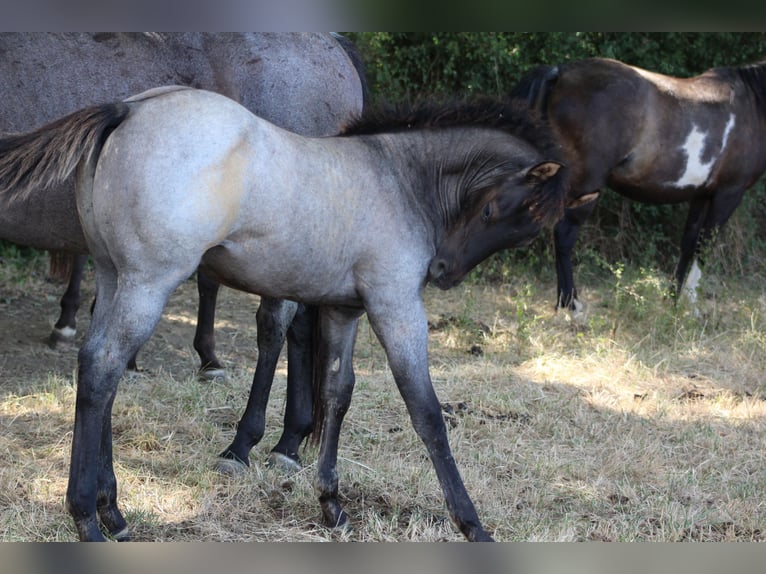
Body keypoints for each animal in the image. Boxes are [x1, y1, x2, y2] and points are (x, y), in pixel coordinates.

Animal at [0, 86, 569, 541]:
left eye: (524, 229)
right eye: (498, 210)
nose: (444, 269)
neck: (398, 176)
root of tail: (128, 107)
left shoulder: (343, 309)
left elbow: (336, 394)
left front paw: (332, 505)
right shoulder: (397, 305)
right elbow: (426, 411)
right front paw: (471, 523)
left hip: (113, 275)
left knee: (103, 370)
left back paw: (113, 512)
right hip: (148, 282)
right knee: (101, 369)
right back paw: (86, 518)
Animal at [509, 56, 766, 313]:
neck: (752, 102)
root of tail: (560, 73)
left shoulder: (702, 194)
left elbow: (689, 243)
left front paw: (673, 300)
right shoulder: (728, 194)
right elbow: (704, 245)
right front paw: (691, 305)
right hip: (584, 187)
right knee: (564, 236)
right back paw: (572, 305)